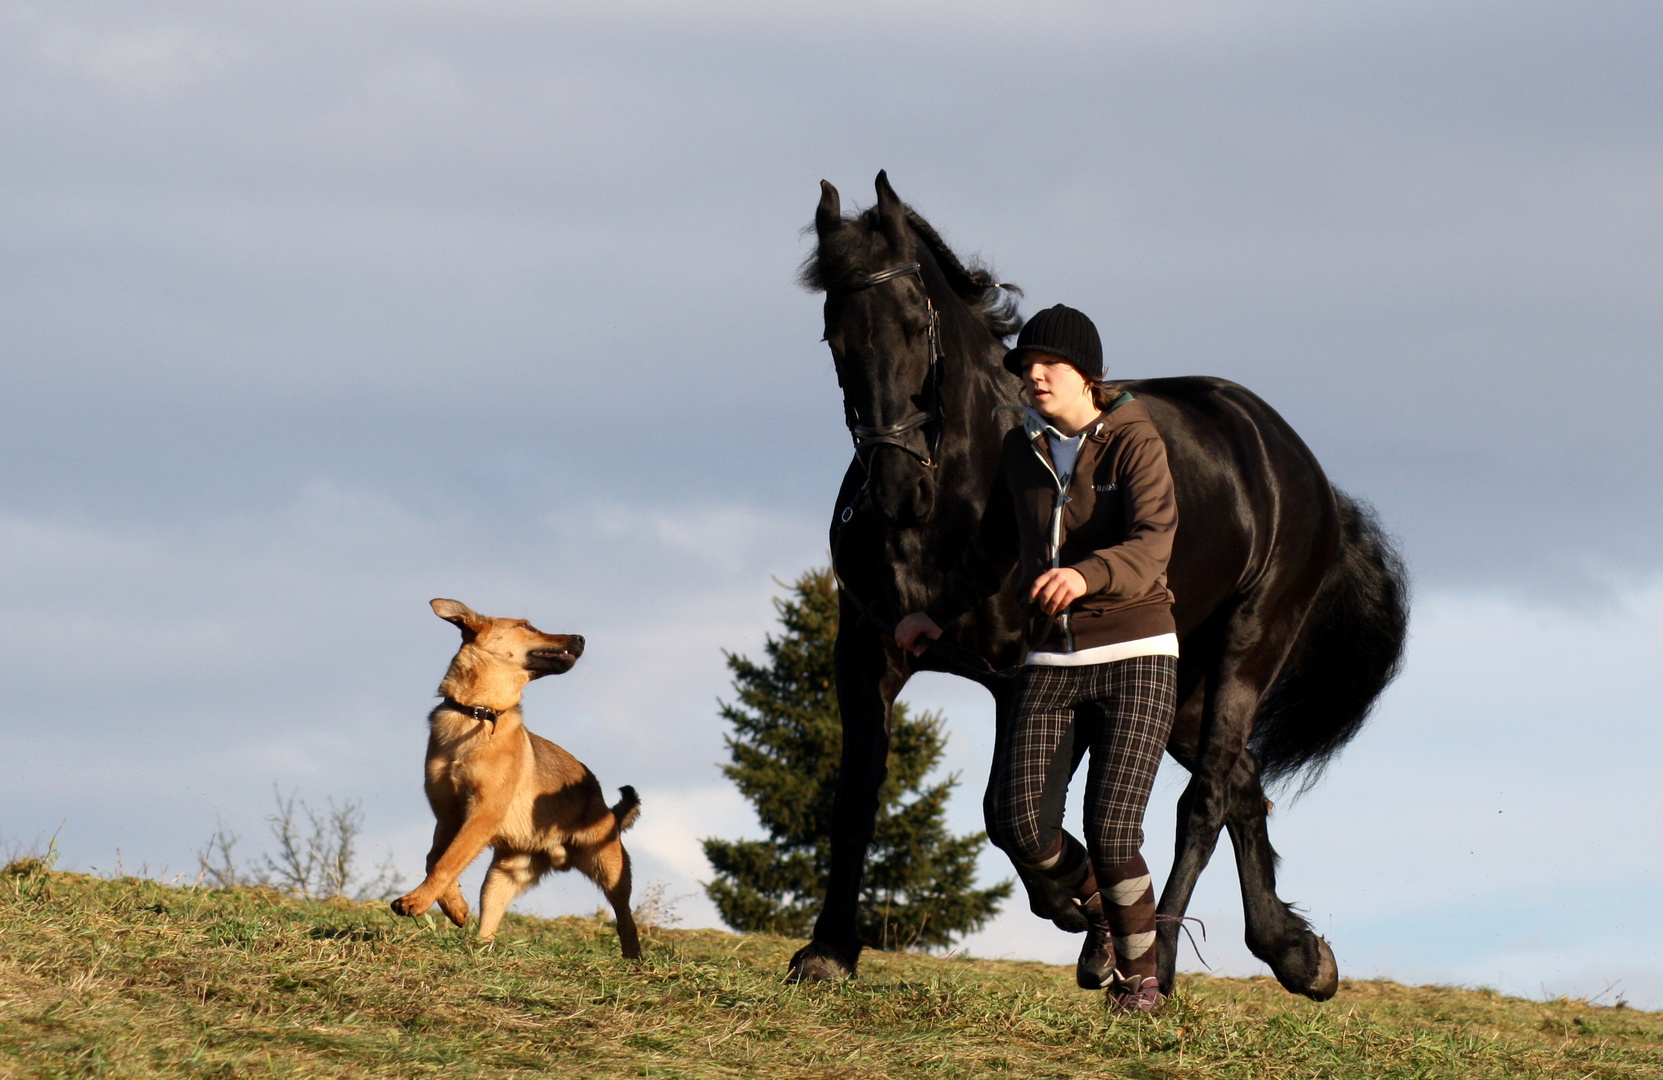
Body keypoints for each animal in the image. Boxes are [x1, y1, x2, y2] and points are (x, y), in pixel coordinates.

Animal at [390, 592, 641, 958]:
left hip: (609, 867)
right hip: (502, 876)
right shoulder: (448, 815)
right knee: (489, 922)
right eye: (526, 626)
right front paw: (454, 907)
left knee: (625, 916)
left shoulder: (482, 813)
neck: (478, 714)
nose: (581, 638)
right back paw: (479, 950)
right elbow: (436, 858)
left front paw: (416, 901)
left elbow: (447, 860)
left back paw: (633, 958)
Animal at [788, 173, 1403, 998]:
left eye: (917, 327)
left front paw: (1076, 899)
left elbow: (1009, 812)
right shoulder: (866, 654)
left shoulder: (1025, 675)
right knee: (1240, 781)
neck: (951, 501)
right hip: (1179, 679)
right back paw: (1294, 952)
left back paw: (1162, 962)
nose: (892, 489)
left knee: (1203, 800)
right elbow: (856, 795)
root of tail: (1291, 459)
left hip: (1246, 648)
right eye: (835, 336)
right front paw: (827, 949)